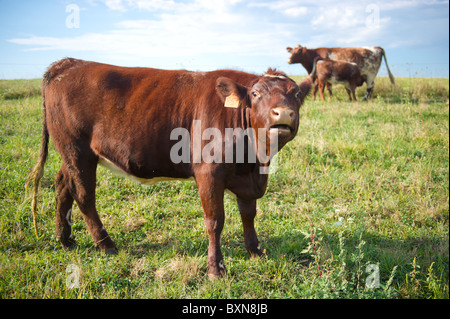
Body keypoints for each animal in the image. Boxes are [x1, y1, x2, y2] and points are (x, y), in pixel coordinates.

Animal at [26, 57, 312, 278]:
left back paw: (65, 239)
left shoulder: (247, 176)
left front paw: (255, 251)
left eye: (297, 95)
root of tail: (67, 64)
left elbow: (249, 214)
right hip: (77, 149)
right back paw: (106, 245)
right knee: (84, 195)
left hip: (71, 154)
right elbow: (215, 221)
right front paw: (216, 270)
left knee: (63, 186)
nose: (283, 113)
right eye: (255, 94)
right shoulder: (208, 172)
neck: (254, 159)